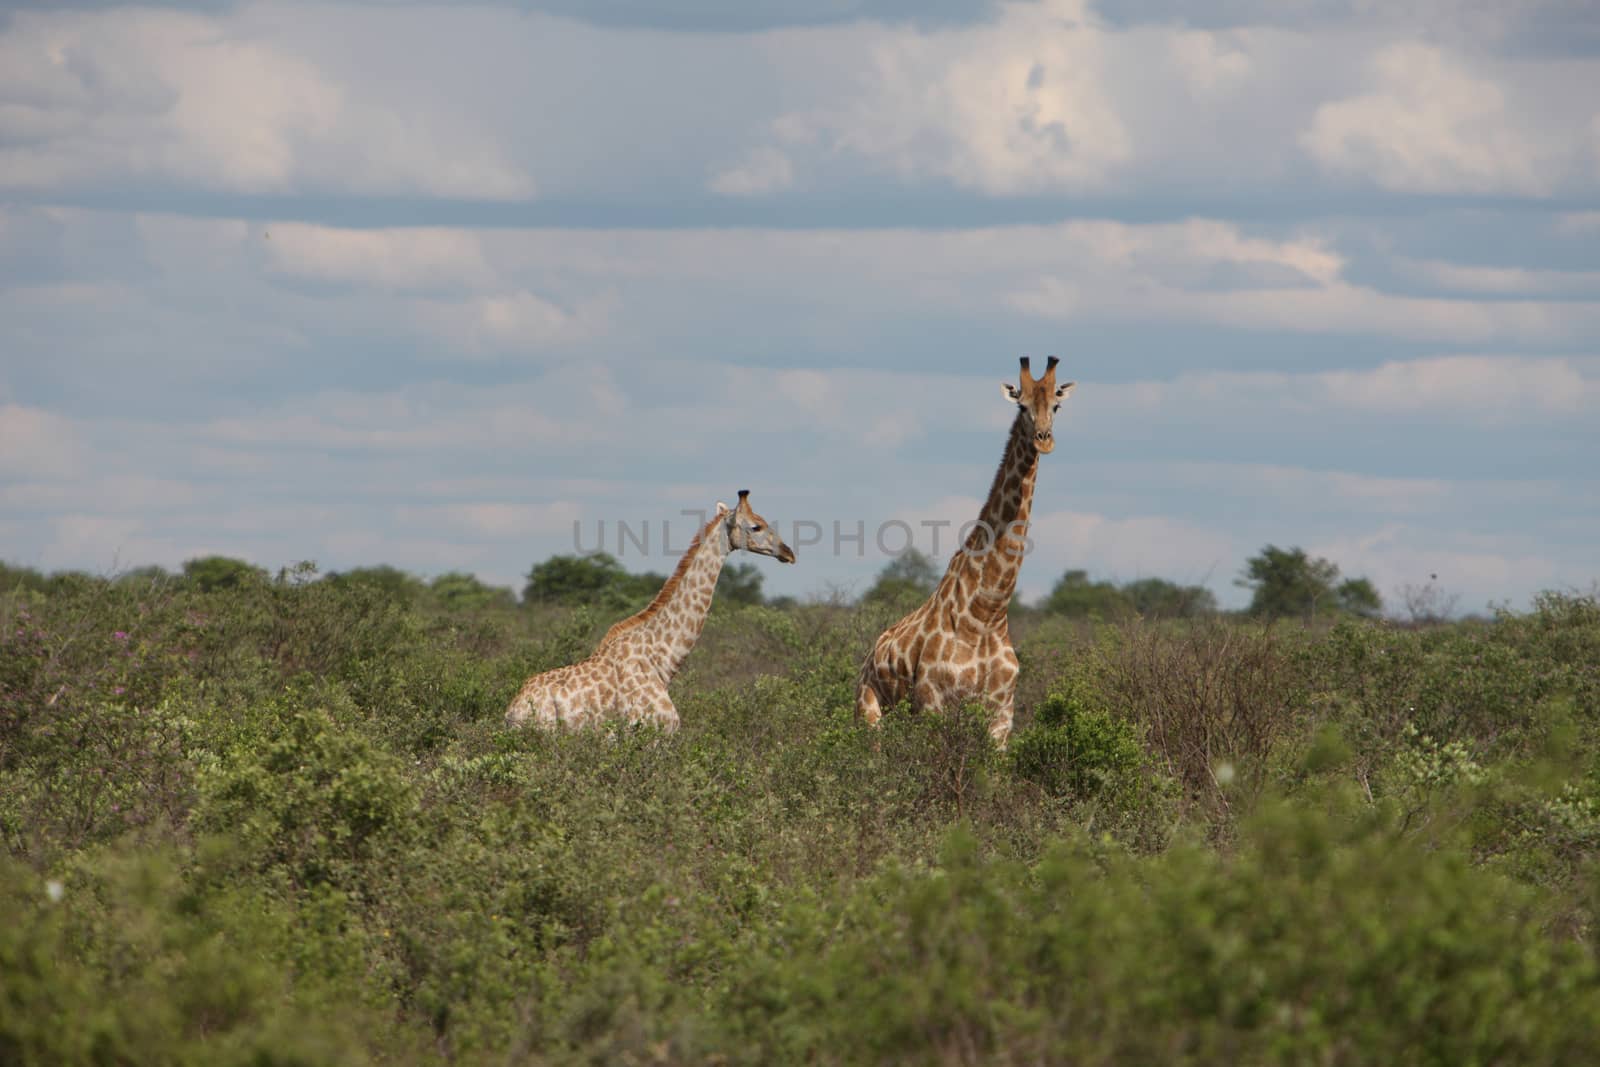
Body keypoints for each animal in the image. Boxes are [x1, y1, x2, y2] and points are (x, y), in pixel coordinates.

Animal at [851, 355, 1075, 748]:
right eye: (1022, 406)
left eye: (1056, 406)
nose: (1044, 441)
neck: (987, 612)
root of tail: (868, 658)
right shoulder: (933, 703)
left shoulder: (1001, 714)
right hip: (869, 713)